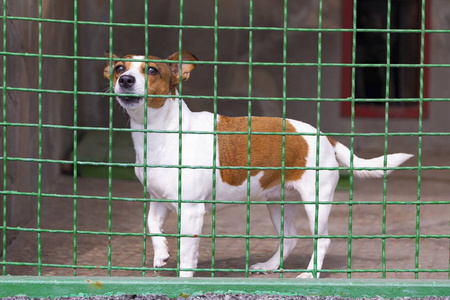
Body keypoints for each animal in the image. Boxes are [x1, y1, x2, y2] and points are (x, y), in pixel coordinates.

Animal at [103, 51, 414, 276]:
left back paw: (310, 274)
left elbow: (188, 257)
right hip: (277, 203)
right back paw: (270, 266)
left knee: (322, 239)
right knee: (290, 237)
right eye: (119, 68)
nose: (125, 80)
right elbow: (151, 226)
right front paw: (161, 253)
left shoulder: (191, 211)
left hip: (316, 204)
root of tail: (324, 136)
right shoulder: (158, 200)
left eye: (152, 71)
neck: (160, 132)